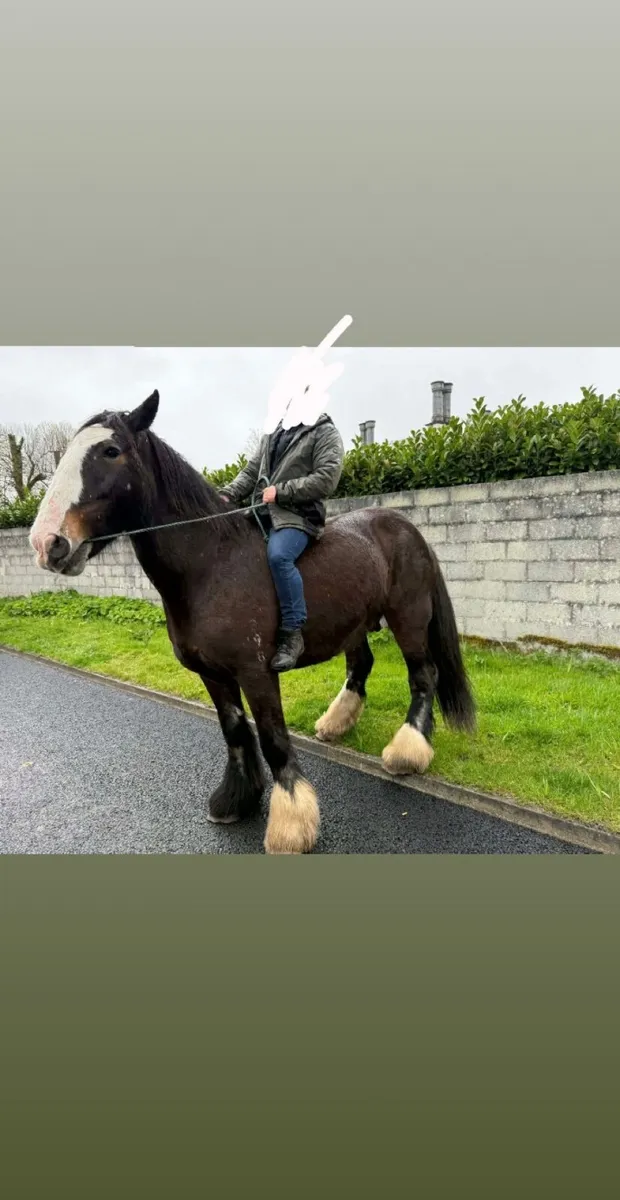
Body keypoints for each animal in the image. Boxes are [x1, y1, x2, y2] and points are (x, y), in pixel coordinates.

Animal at [29, 390, 476, 854]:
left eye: (110, 451)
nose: (48, 543)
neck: (211, 565)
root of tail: (405, 526)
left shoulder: (256, 672)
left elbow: (272, 737)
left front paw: (291, 824)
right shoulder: (212, 674)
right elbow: (235, 731)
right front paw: (235, 800)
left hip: (409, 618)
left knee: (423, 676)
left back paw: (407, 751)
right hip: (355, 624)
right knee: (361, 666)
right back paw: (336, 724)